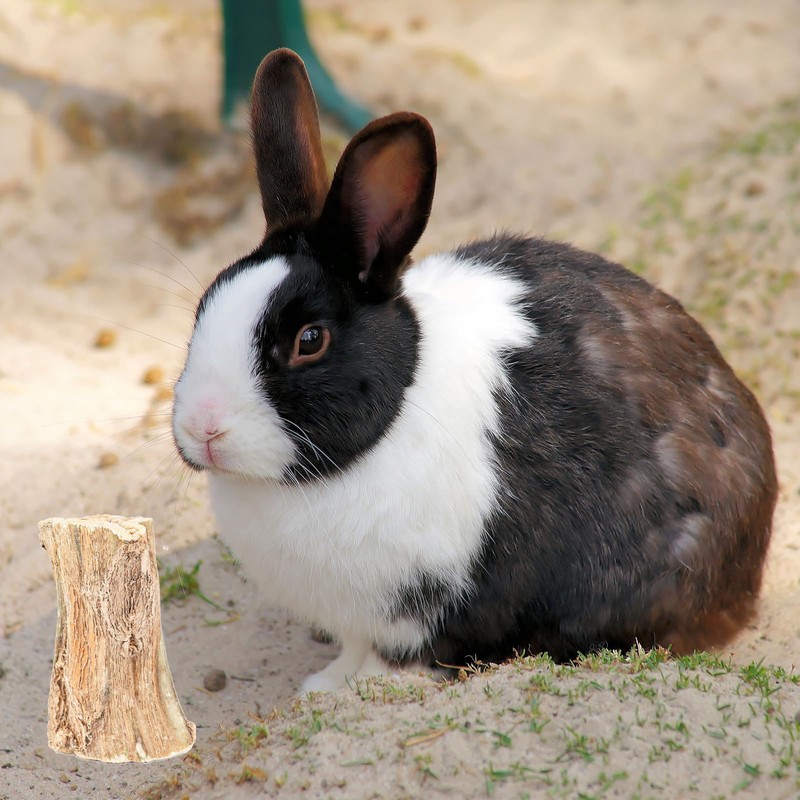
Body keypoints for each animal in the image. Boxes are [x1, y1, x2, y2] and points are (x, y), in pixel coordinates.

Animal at [171, 48, 777, 693]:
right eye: (203, 305)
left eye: (310, 340)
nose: (204, 429)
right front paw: (325, 688)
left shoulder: (425, 609)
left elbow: (398, 658)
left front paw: (360, 694)